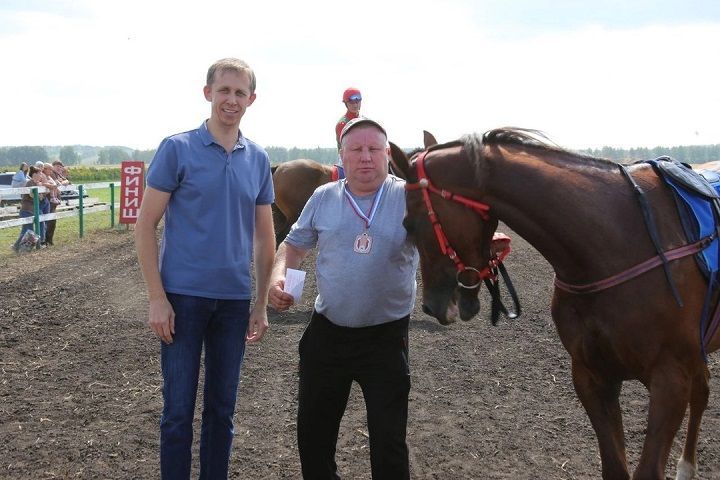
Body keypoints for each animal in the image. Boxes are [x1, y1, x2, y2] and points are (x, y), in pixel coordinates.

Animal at [390, 128, 716, 480]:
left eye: (409, 223)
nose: (431, 305)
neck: (622, 241)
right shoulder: (591, 375)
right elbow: (614, 466)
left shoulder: (670, 381)